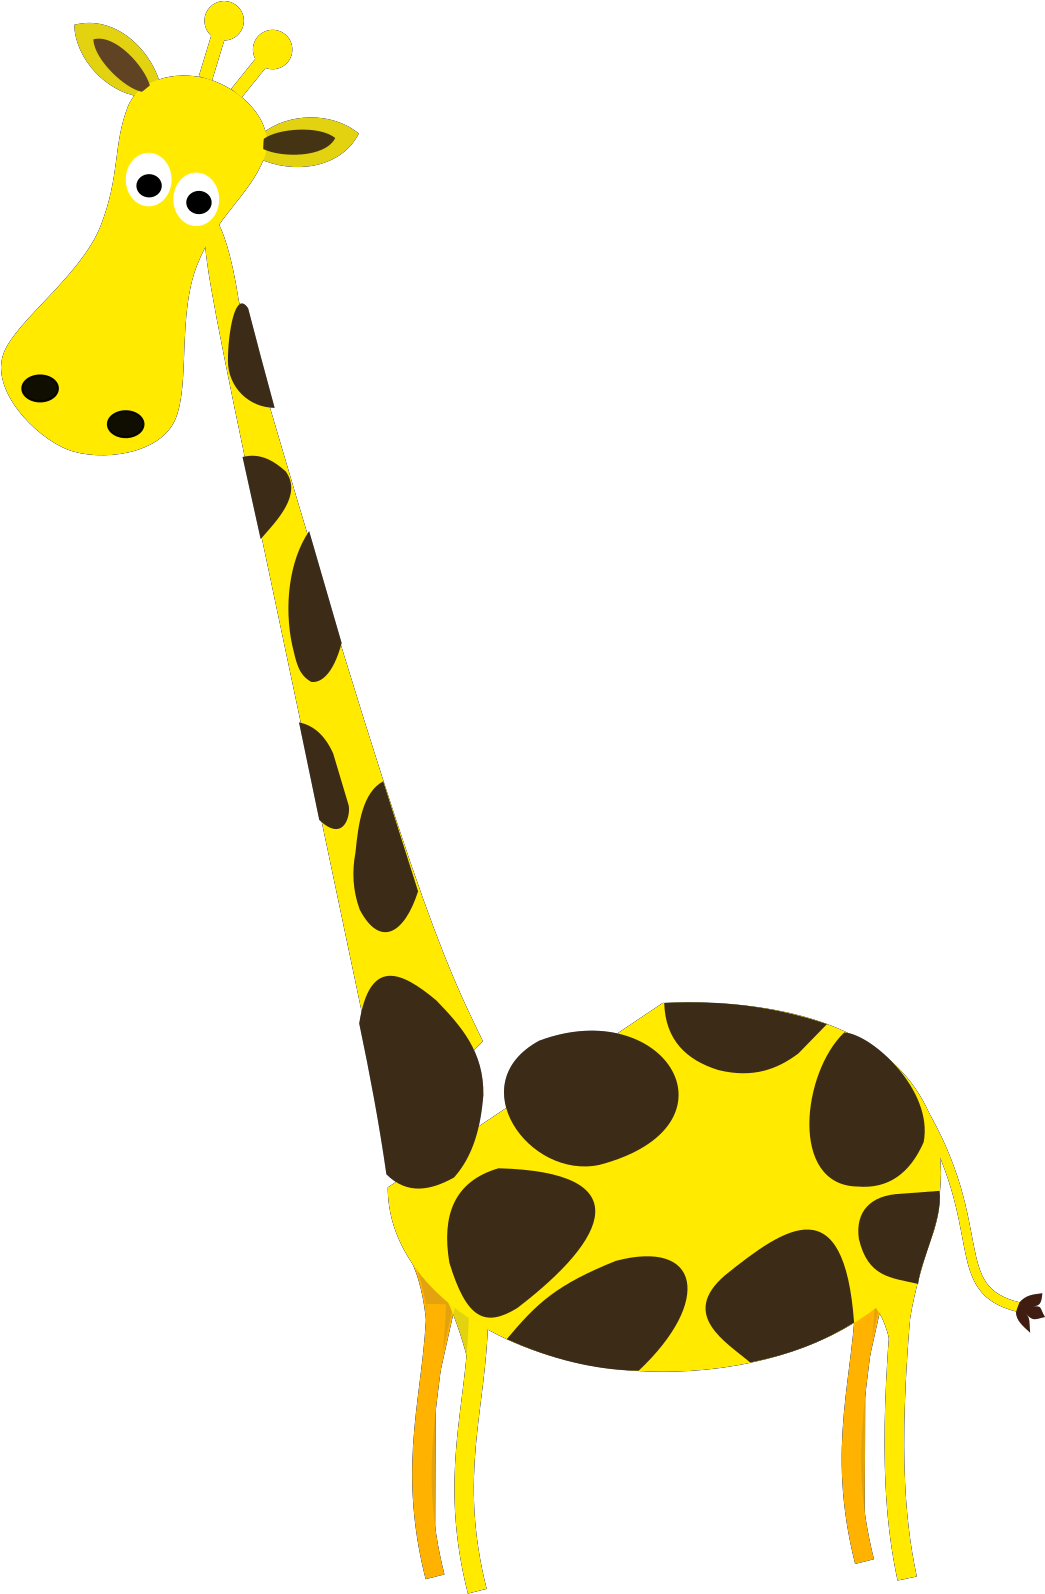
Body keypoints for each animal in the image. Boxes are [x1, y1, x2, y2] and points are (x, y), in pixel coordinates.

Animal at [1, 11, 1039, 1592]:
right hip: (866, 1292)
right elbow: (429, 1499)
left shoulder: (489, 1324)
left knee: (885, 1429)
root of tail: (924, 1112)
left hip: (888, 1283)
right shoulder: (440, 1319)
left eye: (200, 197)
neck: (450, 1105)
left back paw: (899, 1560)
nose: (76, 396)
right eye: (127, 162)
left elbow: (469, 1510)